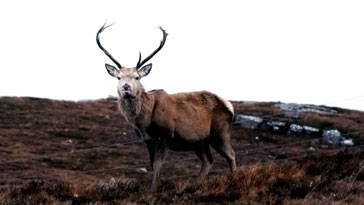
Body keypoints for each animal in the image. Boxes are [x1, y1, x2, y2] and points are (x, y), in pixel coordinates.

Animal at [96, 24, 236, 192]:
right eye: (119, 77)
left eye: (137, 77)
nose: (126, 87)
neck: (144, 122)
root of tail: (228, 105)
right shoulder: (148, 140)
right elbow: (152, 164)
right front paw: (157, 186)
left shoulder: (165, 134)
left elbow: (158, 164)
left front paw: (153, 189)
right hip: (199, 142)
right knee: (208, 160)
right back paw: (194, 185)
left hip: (220, 132)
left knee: (231, 155)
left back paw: (234, 180)